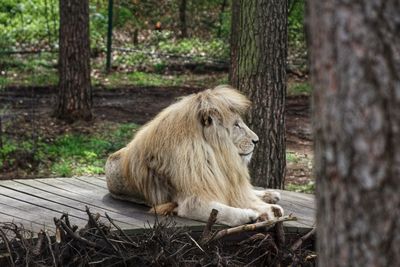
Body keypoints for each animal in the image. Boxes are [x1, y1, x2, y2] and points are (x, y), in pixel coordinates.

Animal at [104, 85, 282, 226]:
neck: (216, 155)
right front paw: (253, 215)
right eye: (236, 125)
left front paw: (268, 208)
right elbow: (224, 209)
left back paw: (270, 195)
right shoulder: (192, 203)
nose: (257, 140)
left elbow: (240, 197)